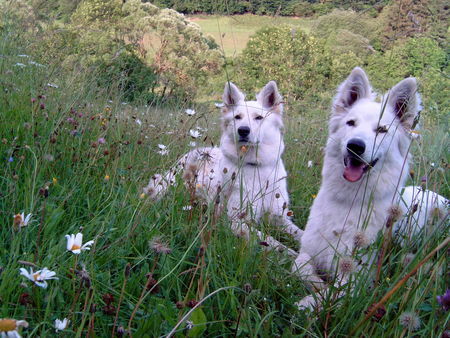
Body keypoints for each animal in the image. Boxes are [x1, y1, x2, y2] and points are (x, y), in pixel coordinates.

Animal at [144, 81, 302, 256]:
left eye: (259, 118)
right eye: (237, 117)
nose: (243, 130)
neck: (255, 166)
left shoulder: (278, 216)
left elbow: (300, 233)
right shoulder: (237, 221)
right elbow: (275, 243)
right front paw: (299, 260)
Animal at [292, 67, 446, 310]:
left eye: (382, 130)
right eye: (351, 123)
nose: (355, 146)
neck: (348, 202)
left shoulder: (355, 279)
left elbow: (330, 294)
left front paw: (308, 301)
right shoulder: (308, 251)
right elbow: (299, 267)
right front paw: (317, 282)